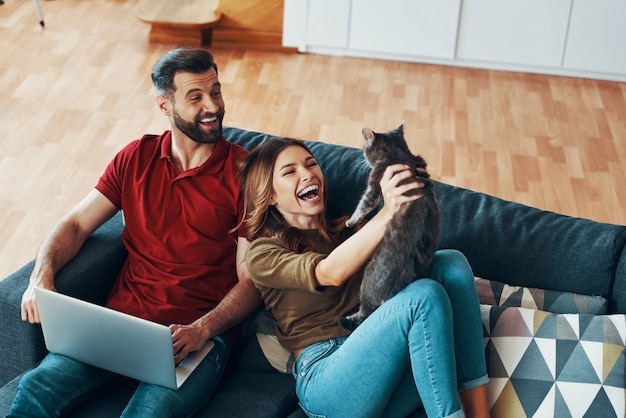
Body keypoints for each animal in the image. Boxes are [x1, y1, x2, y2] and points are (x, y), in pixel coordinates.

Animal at [336, 122, 438, 332]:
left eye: (364, 147)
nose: (361, 152)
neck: (400, 154)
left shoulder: (375, 183)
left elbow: (363, 205)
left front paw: (351, 221)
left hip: (365, 282)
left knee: (363, 312)